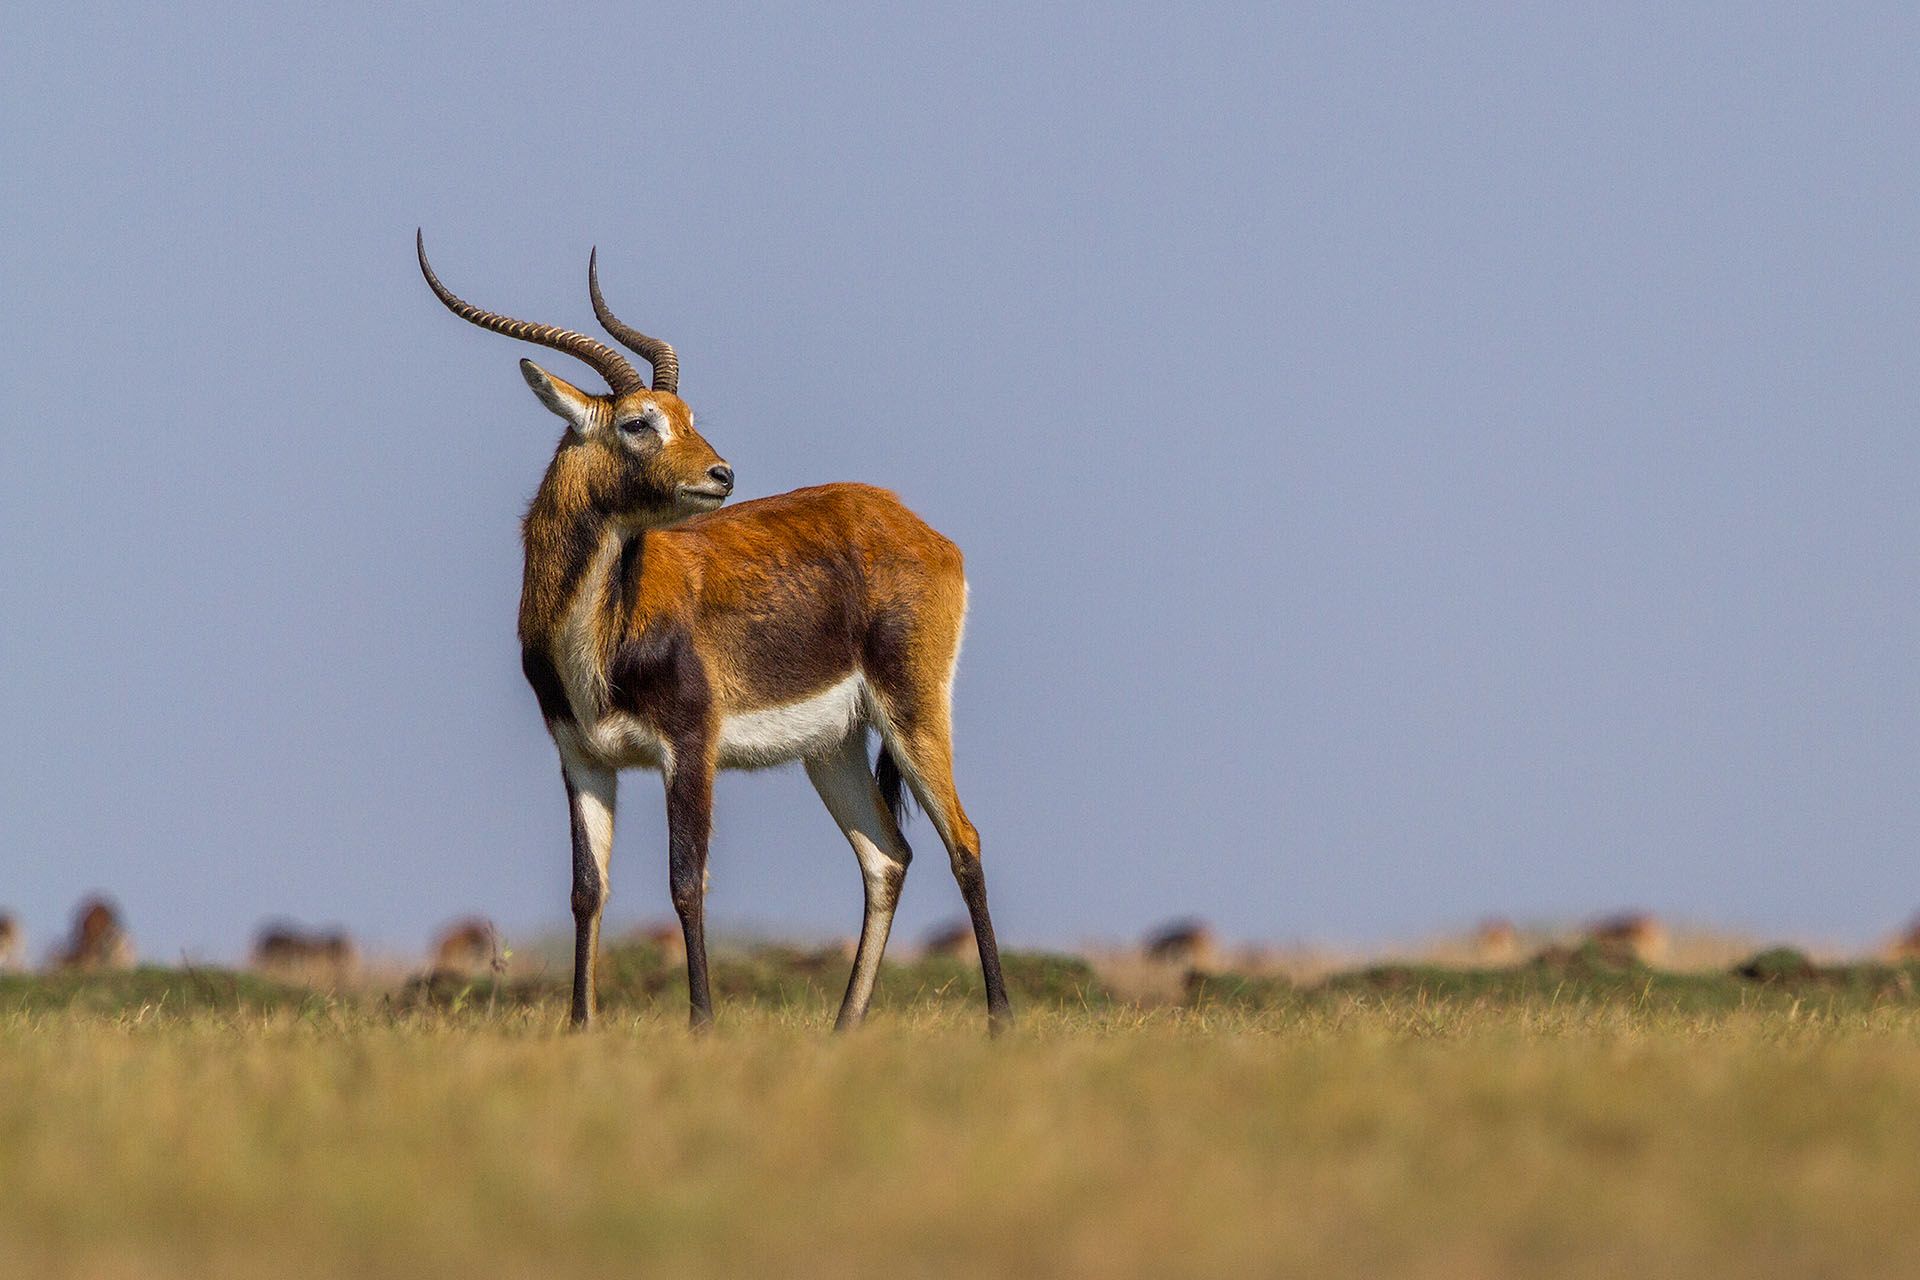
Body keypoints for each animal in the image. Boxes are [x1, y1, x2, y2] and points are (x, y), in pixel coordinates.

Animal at [418, 233, 1013, 1028]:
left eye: (688, 412)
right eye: (638, 421)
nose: (721, 474)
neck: (599, 633)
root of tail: (910, 522)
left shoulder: (690, 748)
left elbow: (685, 880)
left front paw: (701, 1023)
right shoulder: (581, 757)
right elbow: (587, 891)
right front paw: (580, 1026)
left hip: (912, 708)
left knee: (964, 842)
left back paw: (999, 1020)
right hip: (833, 747)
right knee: (887, 856)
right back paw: (843, 1028)